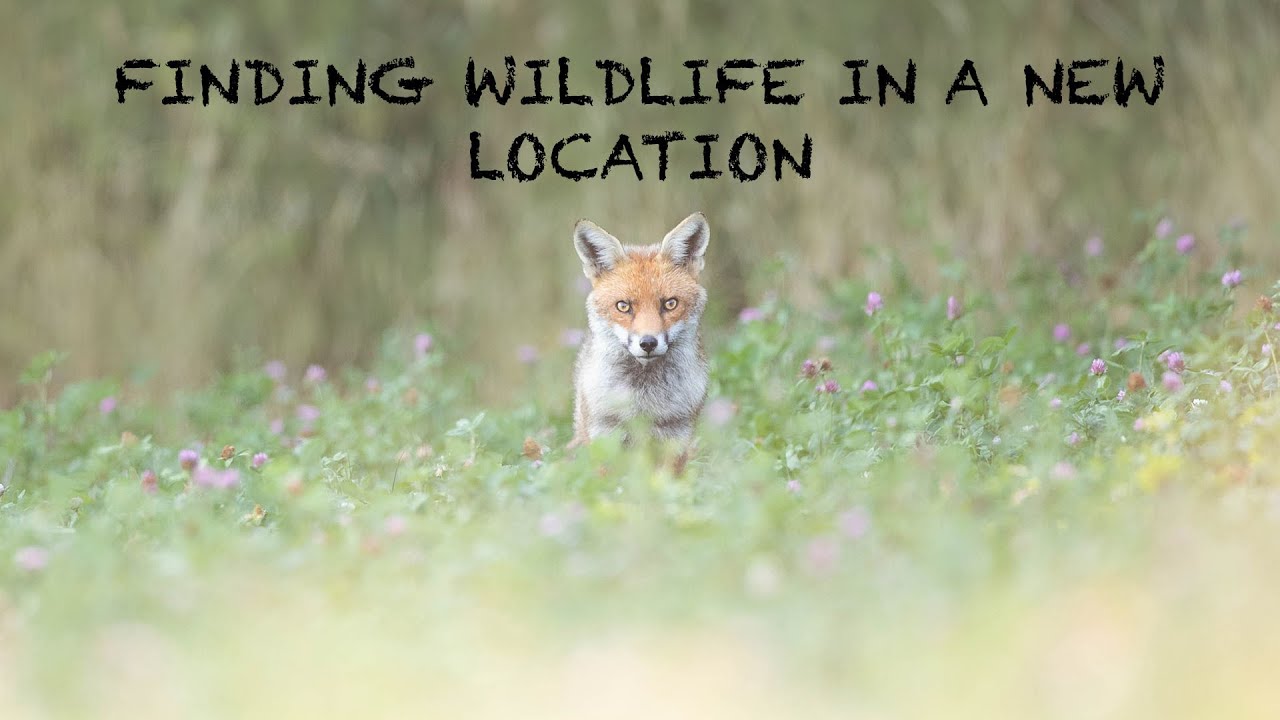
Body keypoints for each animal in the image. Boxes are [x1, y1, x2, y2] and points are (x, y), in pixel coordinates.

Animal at [569, 212, 711, 470]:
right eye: (623, 306)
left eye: (670, 304)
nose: (648, 343)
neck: (643, 402)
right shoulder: (604, 436)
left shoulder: (676, 438)